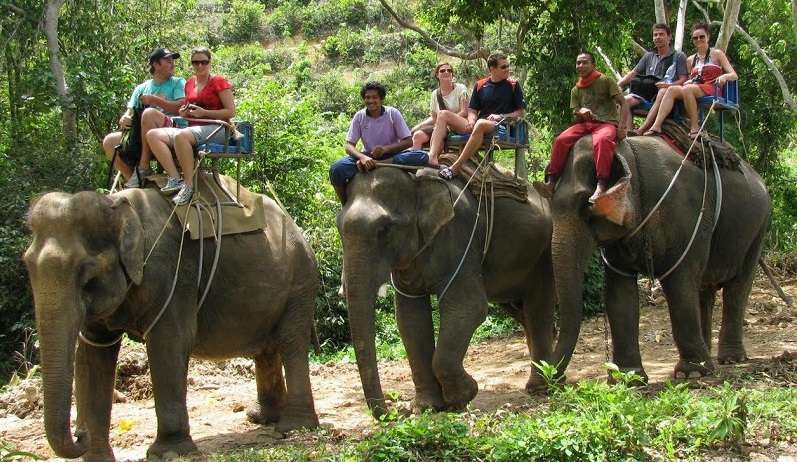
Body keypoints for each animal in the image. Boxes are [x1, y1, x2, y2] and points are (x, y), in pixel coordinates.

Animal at [23, 185, 319, 461]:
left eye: (87, 274)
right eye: (27, 265)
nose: (79, 433)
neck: (118, 206)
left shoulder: (172, 275)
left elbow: (170, 343)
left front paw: (169, 452)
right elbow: (92, 355)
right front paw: (97, 458)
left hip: (300, 281)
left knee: (291, 342)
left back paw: (294, 427)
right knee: (266, 350)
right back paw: (262, 418)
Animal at [337, 166, 555, 418]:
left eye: (384, 230)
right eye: (339, 229)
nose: (392, 413)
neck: (416, 182)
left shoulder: (460, 235)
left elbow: (469, 306)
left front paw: (463, 396)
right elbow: (410, 318)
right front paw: (427, 407)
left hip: (541, 256)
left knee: (538, 310)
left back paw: (540, 388)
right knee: (521, 312)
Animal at [547, 136, 770, 380]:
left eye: (585, 206)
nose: (555, 380)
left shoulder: (684, 217)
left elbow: (680, 285)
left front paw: (690, 374)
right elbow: (618, 294)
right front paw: (628, 378)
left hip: (757, 229)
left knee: (737, 287)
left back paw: (730, 359)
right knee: (704, 290)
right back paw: (709, 357)